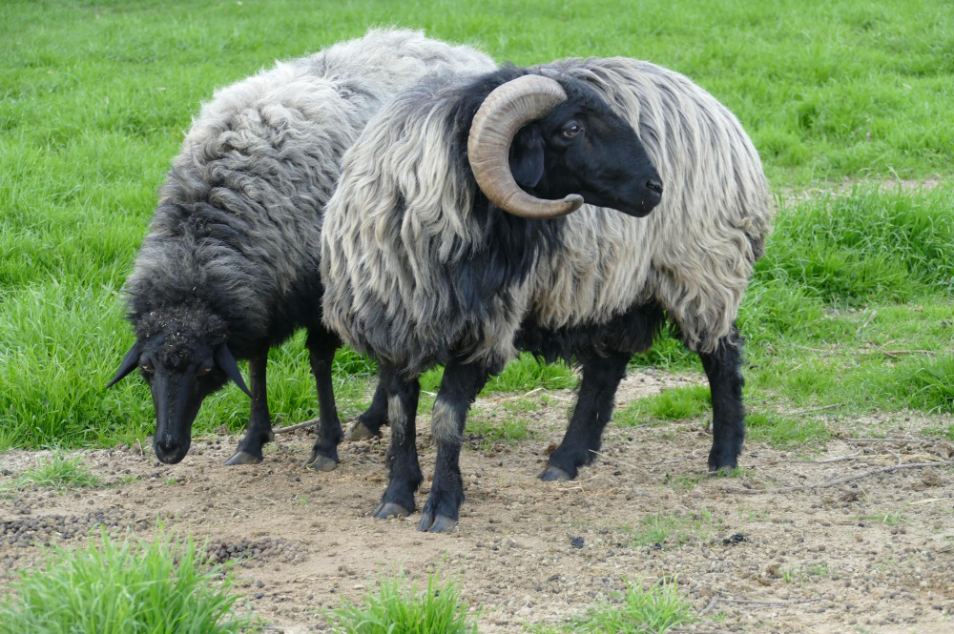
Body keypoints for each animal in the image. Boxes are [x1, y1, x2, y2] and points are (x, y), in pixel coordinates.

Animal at [106, 29, 496, 467]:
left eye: (205, 370)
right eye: (147, 369)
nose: (168, 448)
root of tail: (452, 47)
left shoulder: (317, 288)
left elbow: (319, 362)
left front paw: (326, 444)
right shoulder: (264, 294)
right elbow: (256, 361)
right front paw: (252, 440)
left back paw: (372, 418)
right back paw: (372, 419)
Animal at [321, 60, 771, 532]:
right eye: (571, 128)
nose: (654, 187)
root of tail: (717, 109)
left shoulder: (482, 330)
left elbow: (445, 417)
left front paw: (442, 505)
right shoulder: (391, 324)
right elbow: (401, 414)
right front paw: (396, 494)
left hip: (704, 268)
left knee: (722, 357)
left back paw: (724, 457)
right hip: (618, 287)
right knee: (606, 368)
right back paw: (567, 459)